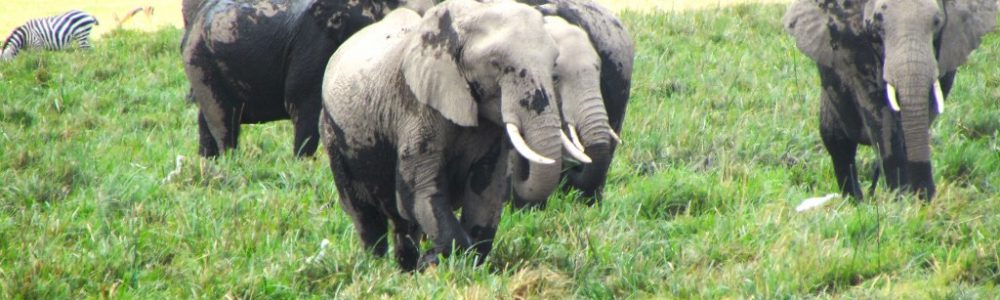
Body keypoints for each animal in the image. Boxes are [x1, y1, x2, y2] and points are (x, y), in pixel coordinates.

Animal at [182, 0, 432, 158]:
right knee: (223, 120)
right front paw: (302, 164)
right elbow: (303, 106)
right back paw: (229, 161)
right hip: (200, 62)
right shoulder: (315, 45)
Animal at [316, 0, 584, 268]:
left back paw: (405, 269)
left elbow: (485, 192)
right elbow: (422, 192)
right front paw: (433, 260)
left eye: (554, 67)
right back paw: (378, 266)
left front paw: (450, 262)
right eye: (495, 64)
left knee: (403, 223)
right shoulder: (416, 106)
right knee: (366, 217)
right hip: (332, 134)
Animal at [784, 0, 996, 202]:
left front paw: (917, 201)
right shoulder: (855, 52)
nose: (926, 196)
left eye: (937, 22)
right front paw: (902, 202)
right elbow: (881, 118)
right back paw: (856, 203)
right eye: (877, 27)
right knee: (838, 144)